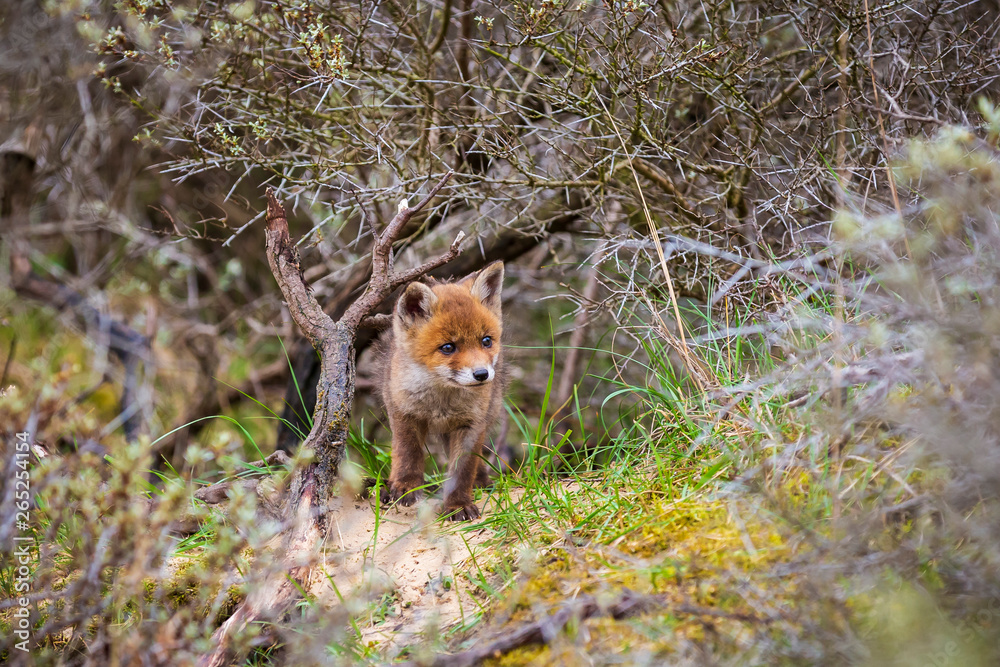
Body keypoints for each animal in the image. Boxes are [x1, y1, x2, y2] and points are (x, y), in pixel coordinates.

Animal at [377, 261, 506, 521]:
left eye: (486, 341)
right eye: (448, 347)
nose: (482, 375)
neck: (441, 400)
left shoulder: (471, 424)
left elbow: (462, 470)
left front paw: (458, 504)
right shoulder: (404, 413)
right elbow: (408, 454)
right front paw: (405, 487)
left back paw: (482, 483)